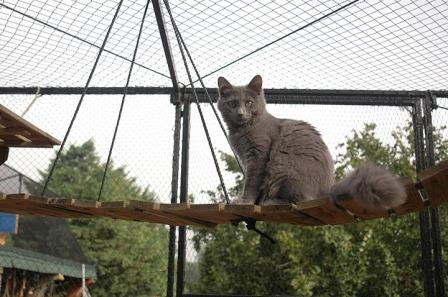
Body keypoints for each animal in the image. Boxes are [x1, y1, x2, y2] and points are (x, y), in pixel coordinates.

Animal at [216, 75, 406, 209]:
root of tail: (327, 189)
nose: (240, 113)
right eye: (232, 103)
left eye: (248, 103)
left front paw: (245, 201)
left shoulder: (258, 156)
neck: (241, 131)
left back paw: (270, 202)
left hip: (284, 168)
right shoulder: (245, 158)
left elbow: (252, 182)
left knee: (298, 200)